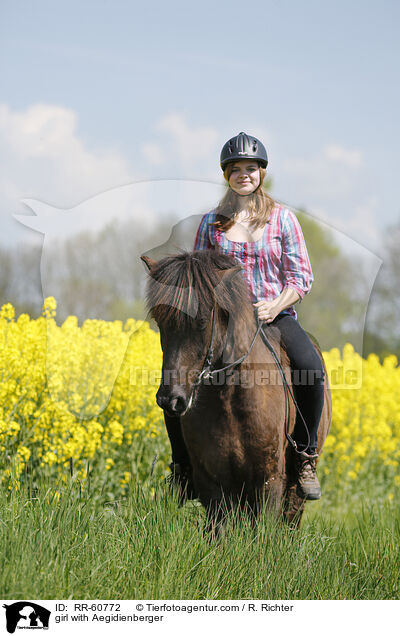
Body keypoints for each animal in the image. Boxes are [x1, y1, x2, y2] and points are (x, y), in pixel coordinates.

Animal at [141, 246, 332, 536]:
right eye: (160, 320)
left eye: (201, 321)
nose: (170, 400)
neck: (230, 399)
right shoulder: (211, 481)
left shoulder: (269, 481)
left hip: (294, 487)